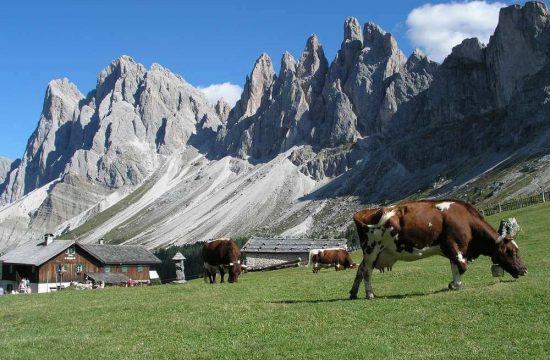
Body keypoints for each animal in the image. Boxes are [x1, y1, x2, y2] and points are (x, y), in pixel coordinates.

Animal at [352, 198, 528, 300]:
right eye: (511, 251)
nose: (524, 270)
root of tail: (363, 212)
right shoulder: (453, 245)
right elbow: (462, 266)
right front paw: (453, 285)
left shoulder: (455, 250)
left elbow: (455, 267)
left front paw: (456, 284)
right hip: (371, 249)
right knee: (366, 272)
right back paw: (369, 294)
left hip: (372, 253)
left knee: (360, 269)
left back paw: (353, 292)